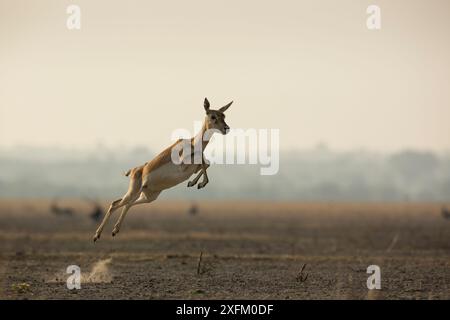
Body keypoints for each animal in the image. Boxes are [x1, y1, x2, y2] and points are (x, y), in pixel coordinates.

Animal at [92, 99, 232, 241]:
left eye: (223, 115)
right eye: (213, 116)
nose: (226, 128)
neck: (193, 143)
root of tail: (135, 170)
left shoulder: (192, 167)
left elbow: (206, 163)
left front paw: (194, 183)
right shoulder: (183, 165)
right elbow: (203, 162)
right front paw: (199, 183)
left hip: (148, 197)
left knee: (127, 204)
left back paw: (113, 231)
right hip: (134, 192)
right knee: (115, 204)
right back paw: (98, 235)